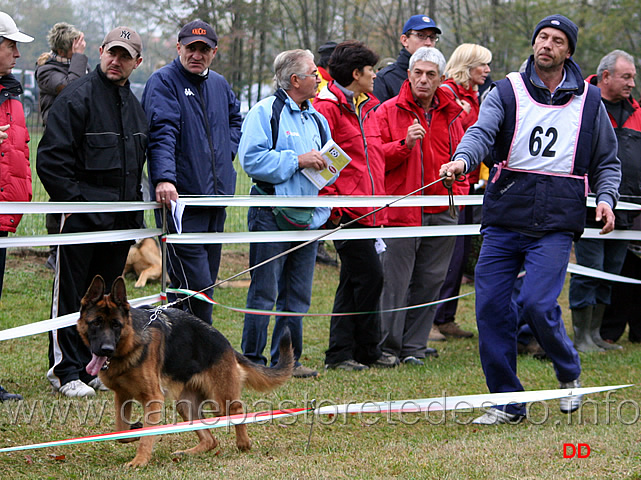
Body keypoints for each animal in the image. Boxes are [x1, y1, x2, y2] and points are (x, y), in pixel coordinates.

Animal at [77, 276, 296, 466]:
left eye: (116, 325)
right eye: (96, 323)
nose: (106, 349)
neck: (130, 343)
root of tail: (226, 344)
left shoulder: (153, 398)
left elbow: (145, 437)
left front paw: (139, 460)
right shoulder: (122, 396)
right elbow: (122, 432)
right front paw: (135, 430)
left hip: (219, 400)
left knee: (237, 410)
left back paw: (244, 444)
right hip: (184, 404)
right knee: (210, 439)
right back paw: (190, 452)